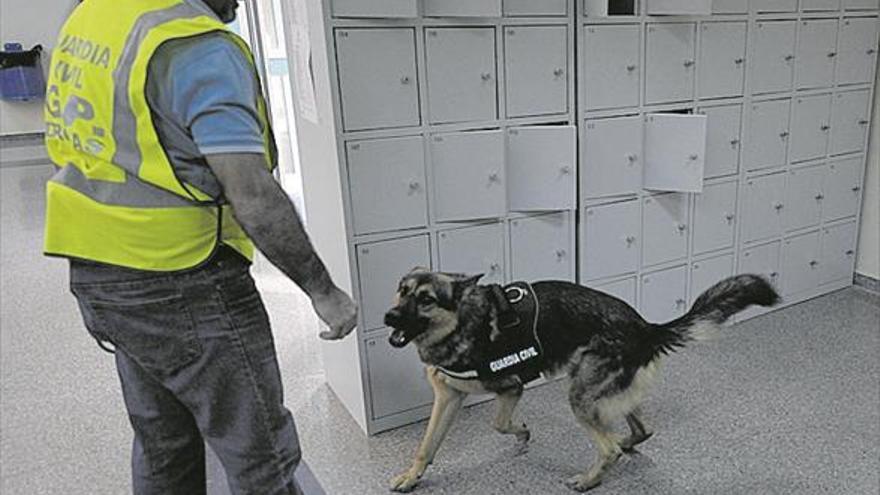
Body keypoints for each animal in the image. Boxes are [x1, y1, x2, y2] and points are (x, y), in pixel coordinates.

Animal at [384, 270, 776, 494]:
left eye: (426, 299)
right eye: (402, 290)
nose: (389, 316)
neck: (462, 321)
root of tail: (645, 327)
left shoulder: (511, 388)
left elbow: (499, 423)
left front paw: (522, 432)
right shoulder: (448, 398)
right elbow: (426, 446)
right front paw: (412, 477)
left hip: (580, 395)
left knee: (608, 446)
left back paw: (590, 479)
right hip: (603, 394)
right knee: (640, 429)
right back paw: (625, 444)